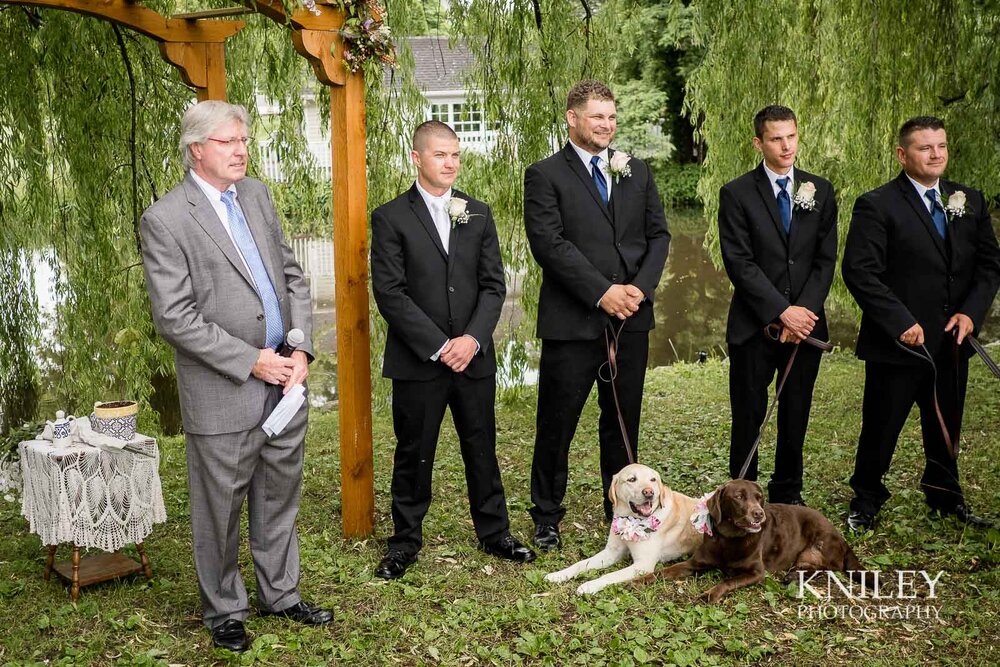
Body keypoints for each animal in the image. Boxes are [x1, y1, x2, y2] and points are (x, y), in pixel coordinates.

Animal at [548, 464, 704, 596]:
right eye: (632, 479)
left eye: (653, 480)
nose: (649, 492)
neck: (631, 519)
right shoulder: (611, 552)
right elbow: (580, 564)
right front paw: (559, 574)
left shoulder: (643, 565)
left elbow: (610, 575)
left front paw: (589, 585)